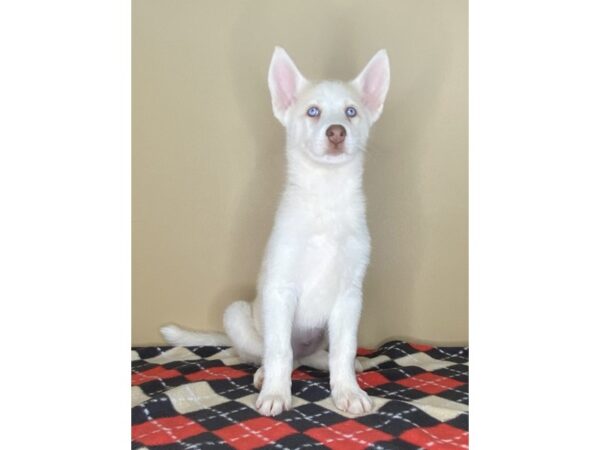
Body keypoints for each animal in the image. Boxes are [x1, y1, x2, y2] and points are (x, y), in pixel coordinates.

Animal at [162, 47, 392, 416]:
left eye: (351, 112)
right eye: (313, 111)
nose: (337, 132)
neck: (325, 198)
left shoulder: (349, 295)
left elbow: (345, 349)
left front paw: (347, 391)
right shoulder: (280, 288)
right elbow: (280, 351)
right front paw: (275, 394)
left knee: (311, 356)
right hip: (237, 314)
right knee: (271, 354)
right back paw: (262, 375)